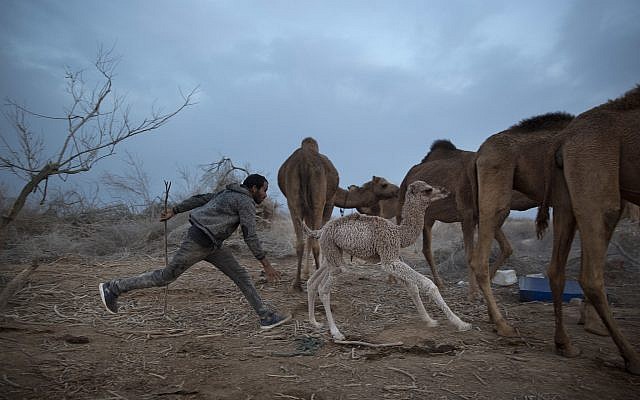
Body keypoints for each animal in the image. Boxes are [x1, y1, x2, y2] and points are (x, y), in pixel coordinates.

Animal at [278, 137, 339, 290]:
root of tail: (304, 163)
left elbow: (308, 238)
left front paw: (306, 274)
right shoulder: (329, 204)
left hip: (294, 202)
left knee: (301, 242)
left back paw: (297, 283)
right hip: (319, 202)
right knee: (316, 241)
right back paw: (317, 280)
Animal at [303, 180, 472, 340]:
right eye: (428, 190)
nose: (445, 190)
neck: (399, 234)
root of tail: (321, 231)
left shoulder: (395, 256)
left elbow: (412, 286)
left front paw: (429, 320)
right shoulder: (389, 257)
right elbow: (427, 284)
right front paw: (461, 323)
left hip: (332, 254)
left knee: (313, 281)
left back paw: (314, 322)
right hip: (333, 254)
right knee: (325, 289)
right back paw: (336, 333)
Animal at [397, 140, 537, 290]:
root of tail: (408, 175)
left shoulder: (482, 216)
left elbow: (507, 248)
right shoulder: (467, 215)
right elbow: (470, 255)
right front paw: (474, 288)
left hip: (428, 217)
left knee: (426, 249)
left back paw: (438, 283)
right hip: (403, 206)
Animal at [535, 86, 640, 374]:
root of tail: (562, 138)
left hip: (566, 196)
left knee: (557, 269)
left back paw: (565, 344)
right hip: (596, 184)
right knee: (591, 275)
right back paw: (631, 357)